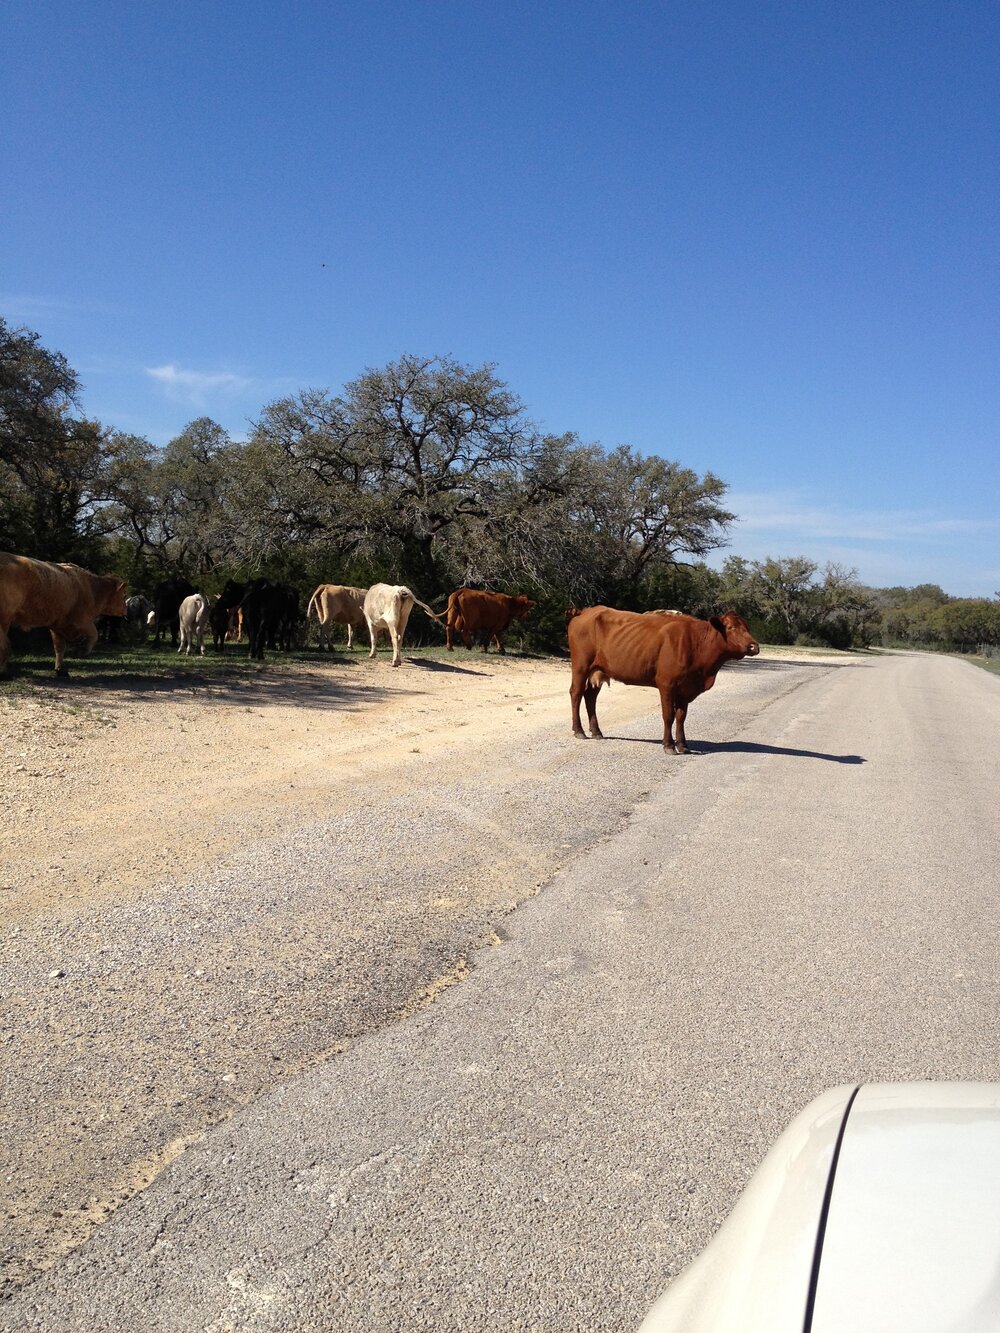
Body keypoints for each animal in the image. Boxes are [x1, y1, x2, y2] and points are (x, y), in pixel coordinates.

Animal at [570, 610, 757, 757]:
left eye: (747, 627)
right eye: (731, 628)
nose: (754, 646)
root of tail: (587, 611)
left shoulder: (685, 689)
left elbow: (681, 717)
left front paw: (683, 745)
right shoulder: (667, 685)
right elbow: (668, 715)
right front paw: (669, 745)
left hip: (598, 670)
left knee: (590, 697)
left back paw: (596, 731)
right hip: (581, 666)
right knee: (576, 693)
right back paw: (579, 730)